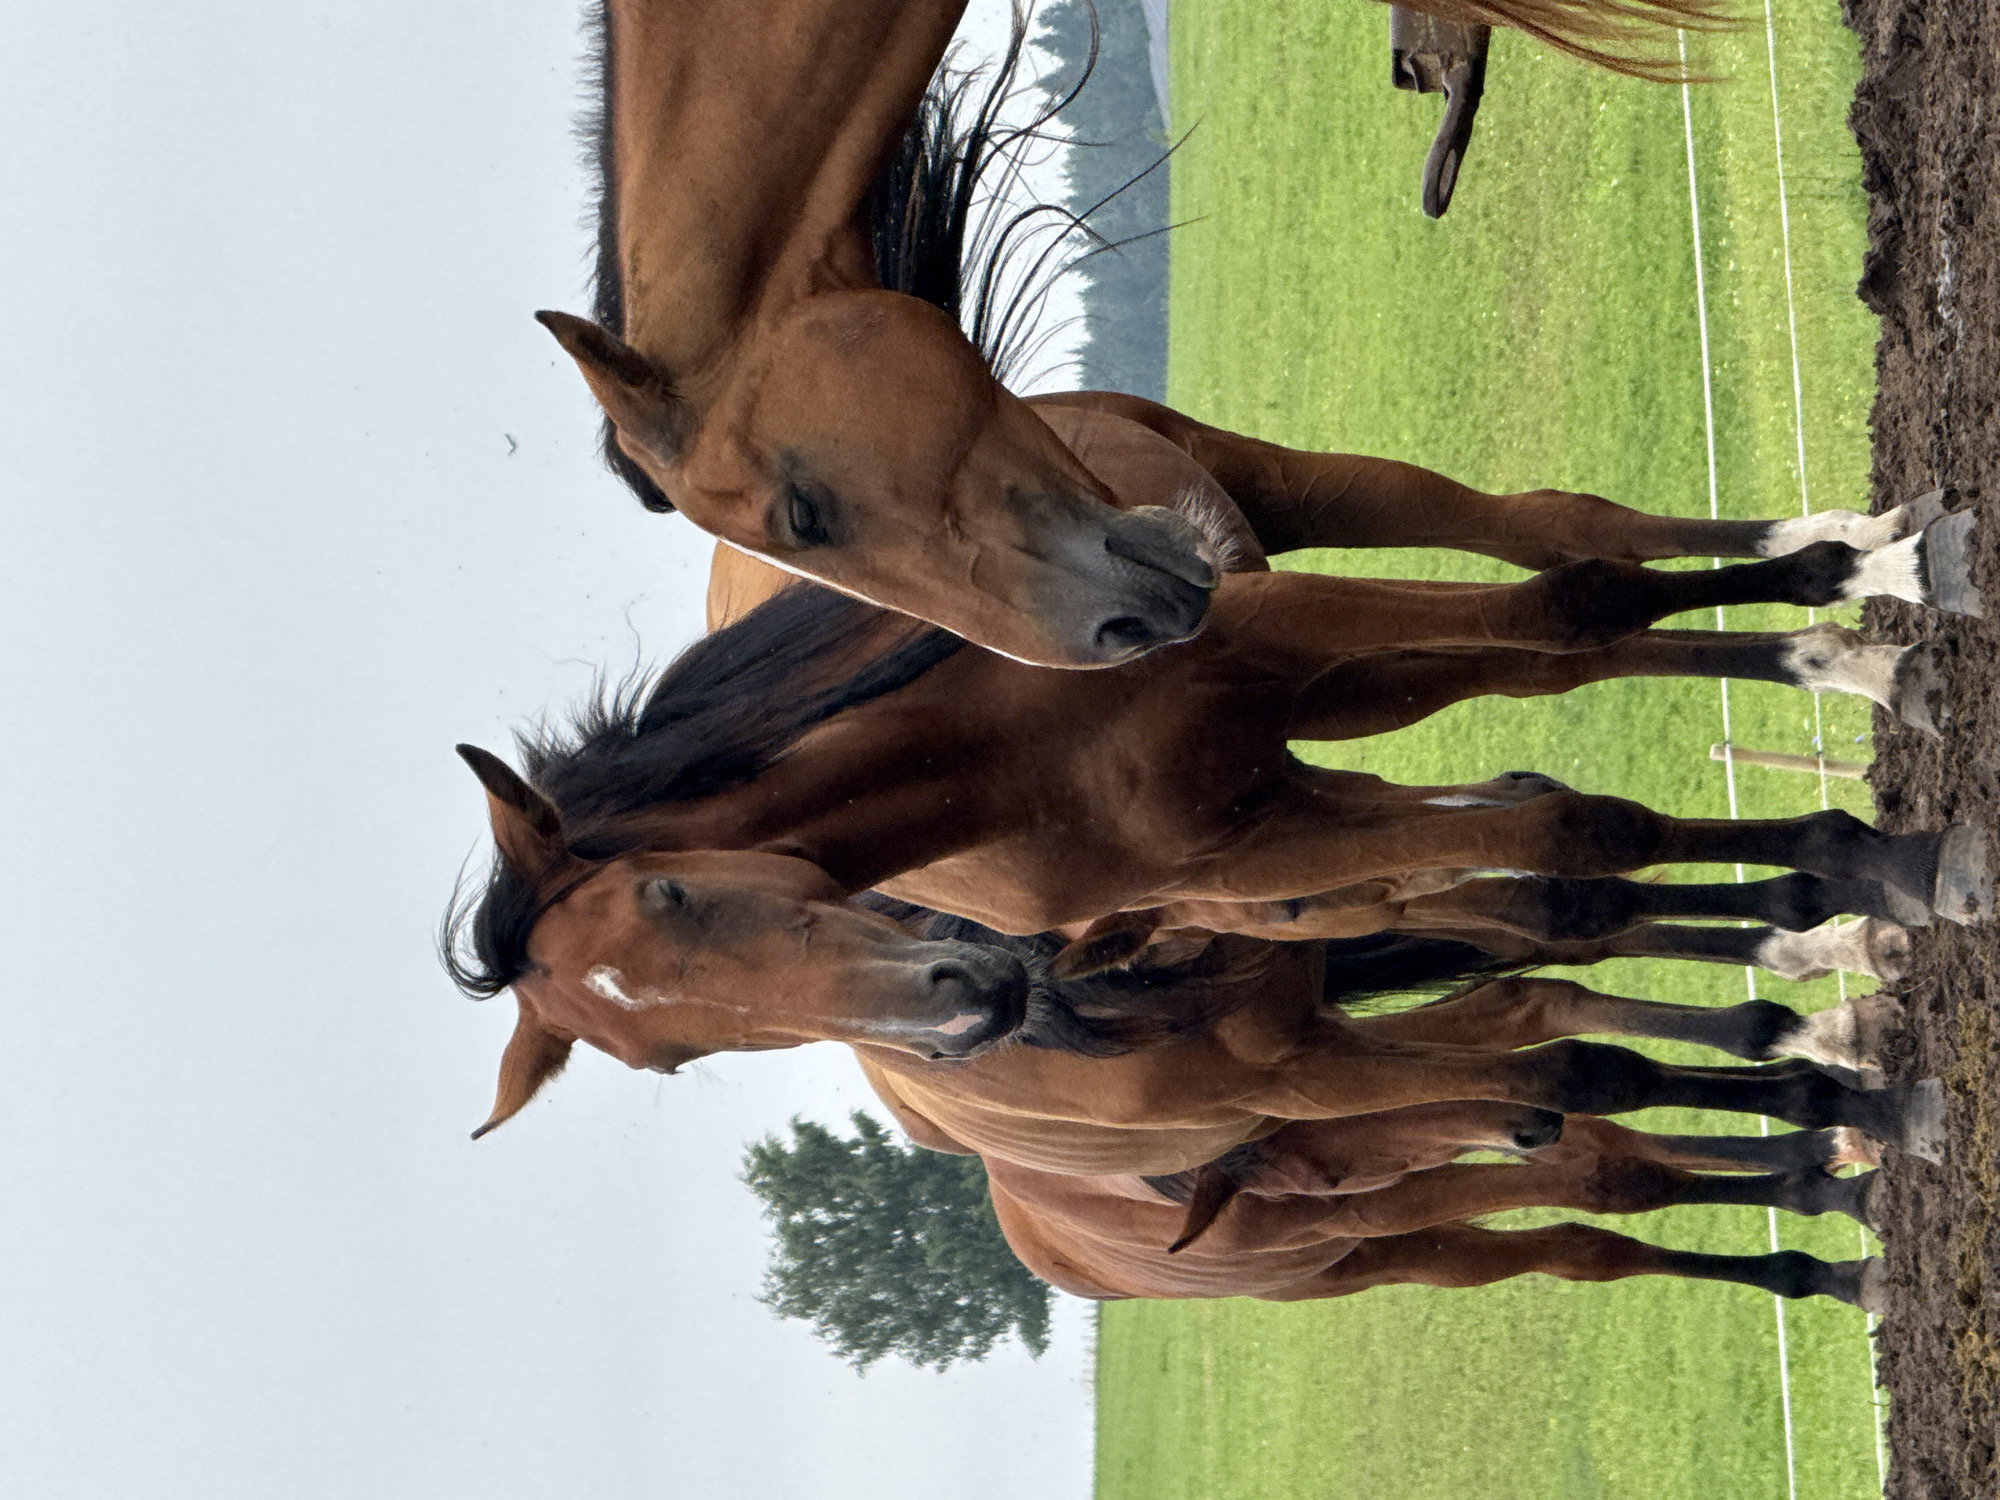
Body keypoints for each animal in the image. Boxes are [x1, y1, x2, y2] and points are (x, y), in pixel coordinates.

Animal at [536, 0, 1918, 671]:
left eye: (801, 515)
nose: (1114, 643)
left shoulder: (1255, 477)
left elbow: (1557, 542)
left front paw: (1840, 552)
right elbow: (1566, 575)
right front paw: (1847, 572)